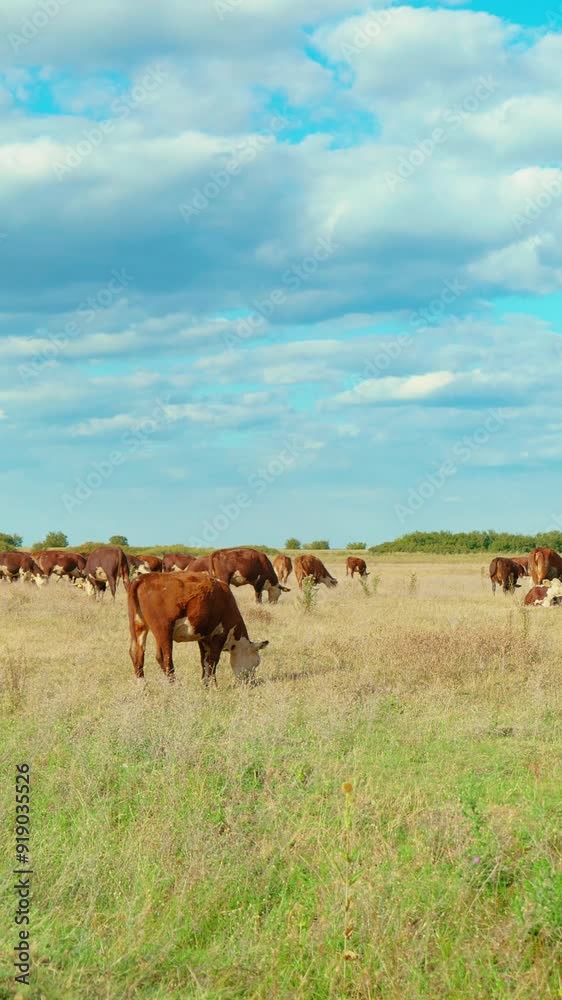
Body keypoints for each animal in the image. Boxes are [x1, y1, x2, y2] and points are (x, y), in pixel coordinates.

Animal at [128, 571, 269, 685]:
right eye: (256, 662)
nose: (251, 682)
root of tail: (142, 578)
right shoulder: (219, 634)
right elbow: (213, 661)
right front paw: (213, 685)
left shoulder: (204, 637)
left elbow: (204, 661)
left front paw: (205, 683)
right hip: (163, 629)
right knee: (164, 657)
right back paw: (174, 685)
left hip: (139, 626)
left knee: (137, 653)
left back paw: (143, 685)